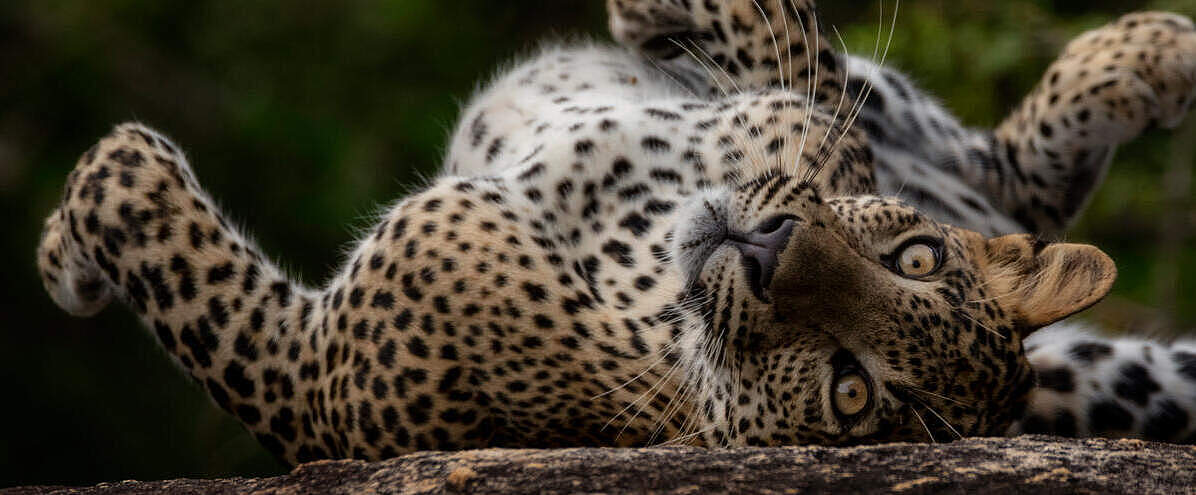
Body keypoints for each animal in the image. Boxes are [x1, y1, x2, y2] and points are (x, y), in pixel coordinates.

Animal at [30, 0, 1196, 466]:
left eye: (851, 390)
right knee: (1000, 182)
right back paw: (1152, 53)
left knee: (1012, 186)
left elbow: (144, 205)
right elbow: (798, 47)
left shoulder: (309, 380)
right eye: (910, 259)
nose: (767, 249)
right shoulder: (798, 118)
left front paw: (73, 245)